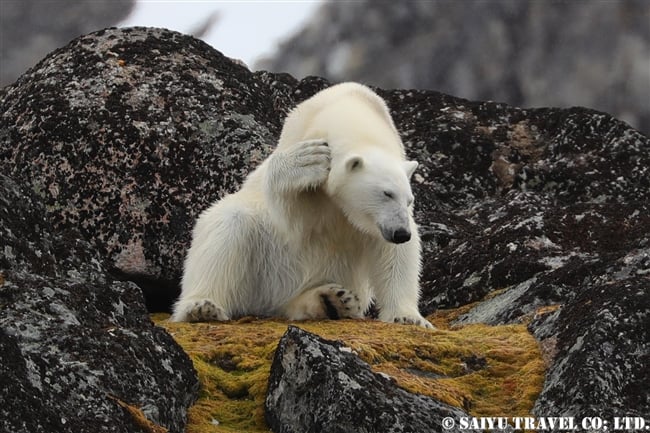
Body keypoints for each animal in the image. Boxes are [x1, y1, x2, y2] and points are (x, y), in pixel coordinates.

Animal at [171, 82, 430, 328]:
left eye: (409, 200)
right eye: (386, 193)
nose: (401, 233)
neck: (350, 108)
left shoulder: (378, 223)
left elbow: (394, 255)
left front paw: (409, 317)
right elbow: (295, 219)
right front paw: (304, 162)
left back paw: (332, 300)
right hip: (265, 268)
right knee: (228, 226)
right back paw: (201, 307)